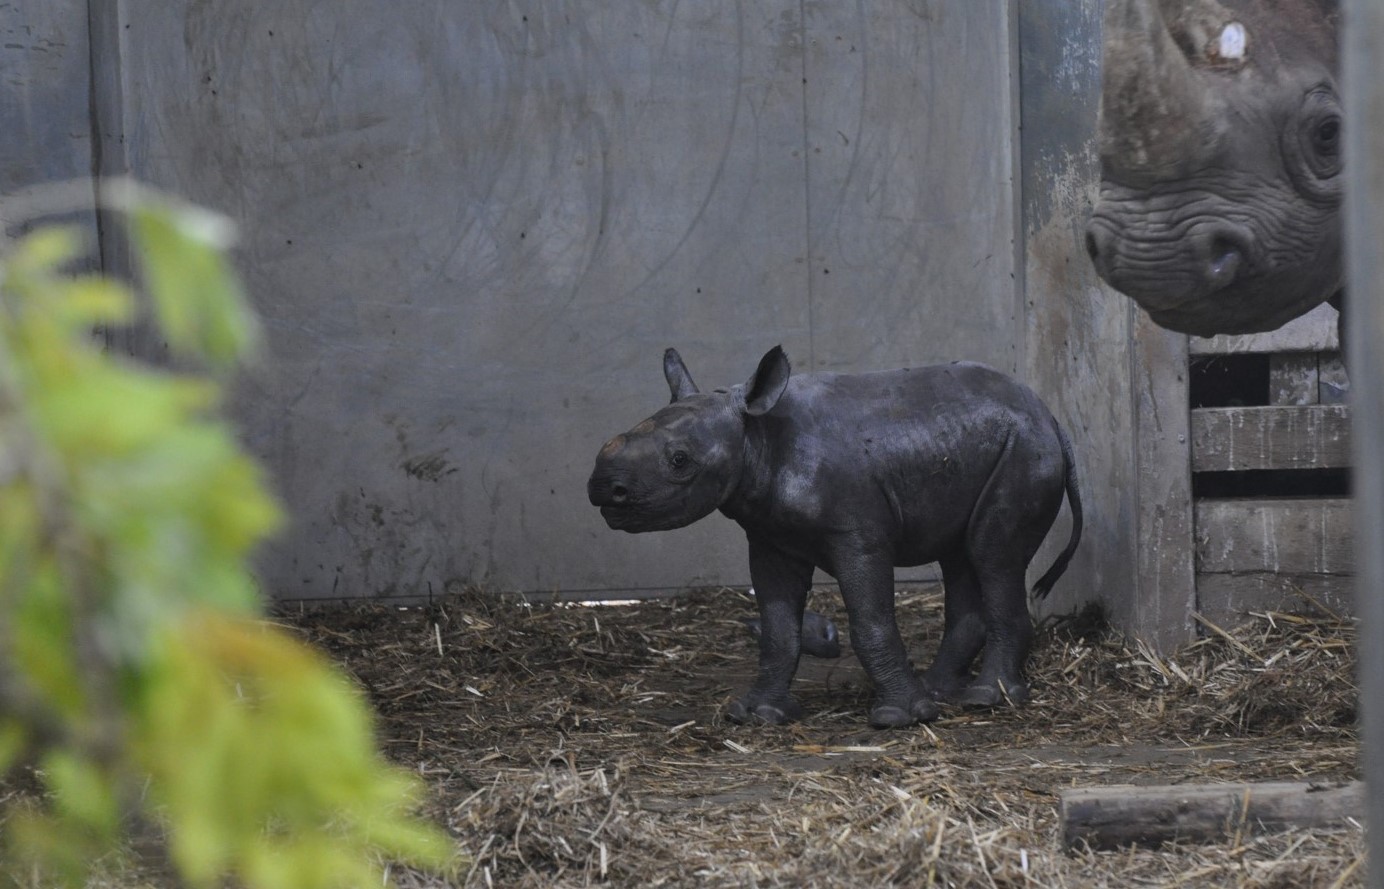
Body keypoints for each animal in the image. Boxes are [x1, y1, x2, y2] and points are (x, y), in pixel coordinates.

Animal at [584, 343, 1079, 725]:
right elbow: (778, 629)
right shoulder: (769, 539)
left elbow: (870, 620)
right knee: (962, 556)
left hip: (1025, 449)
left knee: (991, 554)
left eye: (680, 461)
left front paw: (902, 718)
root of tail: (1051, 417)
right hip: (983, 445)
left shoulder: (857, 534)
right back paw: (941, 691)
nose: (603, 489)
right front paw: (756, 715)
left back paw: (986, 699)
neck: (755, 435)